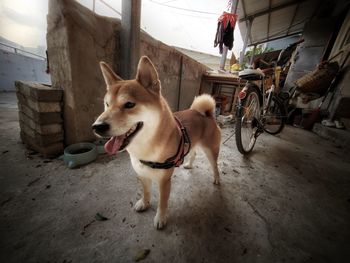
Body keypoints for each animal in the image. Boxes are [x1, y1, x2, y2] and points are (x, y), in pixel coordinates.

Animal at [91, 56, 220, 230]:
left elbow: (162, 203)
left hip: (210, 150)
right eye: (107, 104)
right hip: (194, 143)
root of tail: (206, 114)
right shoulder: (141, 173)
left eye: (129, 104)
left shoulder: (164, 181)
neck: (146, 148)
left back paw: (217, 179)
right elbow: (146, 192)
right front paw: (144, 203)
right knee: (193, 153)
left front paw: (161, 218)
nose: (97, 126)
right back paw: (189, 164)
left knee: (215, 165)